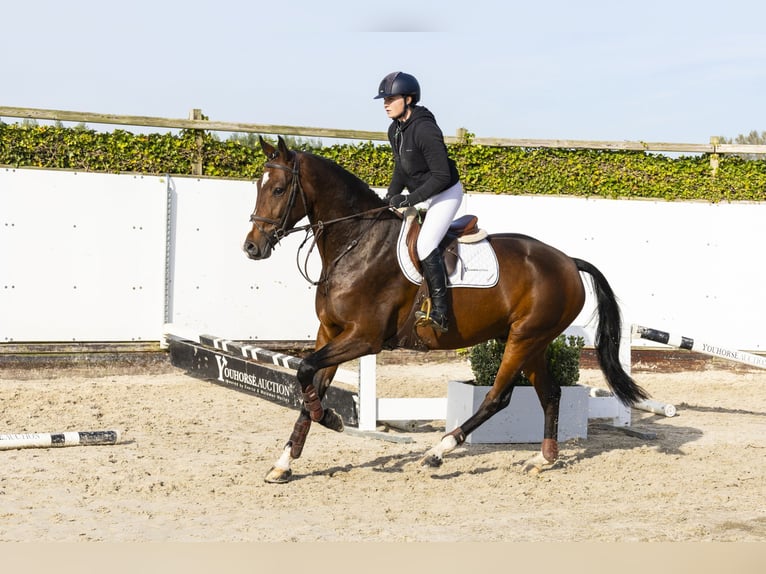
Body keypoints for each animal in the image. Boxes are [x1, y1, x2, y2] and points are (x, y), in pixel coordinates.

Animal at [244, 137, 648, 484]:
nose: (252, 247)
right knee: (549, 394)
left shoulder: (363, 338)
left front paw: (332, 419)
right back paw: (543, 458)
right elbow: (309, 383)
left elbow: (305, 371)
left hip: (524, 338)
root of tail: (568, 261)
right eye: (258, 187)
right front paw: (284, 463)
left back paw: (438, 452)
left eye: (278, 190)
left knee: (497, 397)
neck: (357, 242)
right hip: (532, 340)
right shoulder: (330, 332)